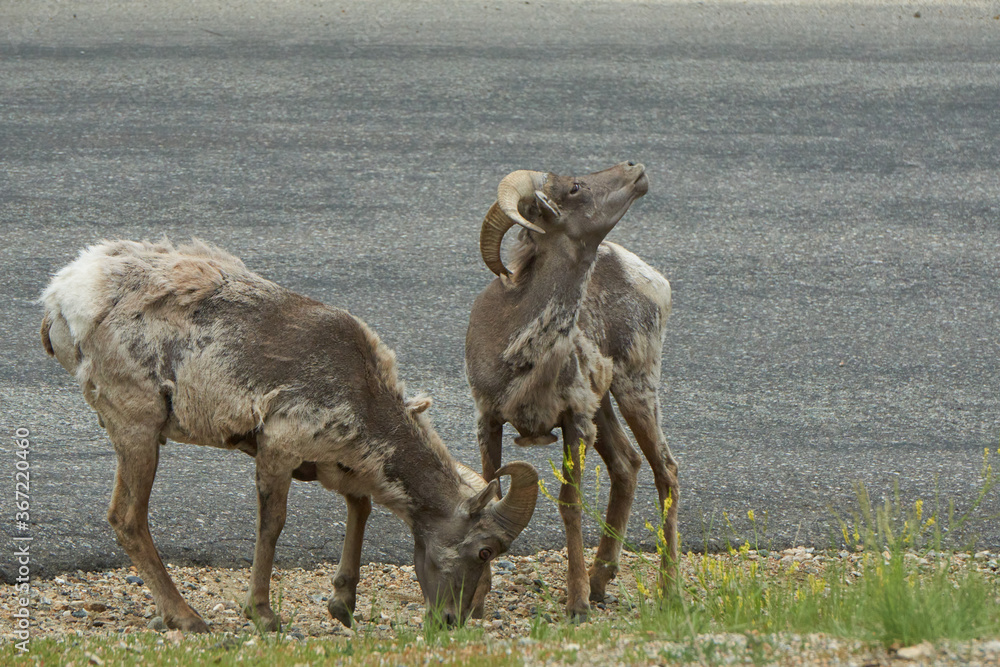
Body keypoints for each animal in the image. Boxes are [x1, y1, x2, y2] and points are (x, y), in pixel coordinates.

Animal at [40, 239, 539, 632]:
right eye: (484, 552)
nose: (453, 620)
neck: (362, 390)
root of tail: (61, 296)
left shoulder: (330, 466)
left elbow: (360, 508)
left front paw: (342, 605)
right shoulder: (277, 452)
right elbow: (273, 525)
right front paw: (264, 615)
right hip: (137, 428)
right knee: (127, 518)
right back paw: (188, 618)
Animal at [465, 162, 678, 622]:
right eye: (576, 187)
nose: (635, 169)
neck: (524, 349)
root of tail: (652, 278)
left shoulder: (574, 422)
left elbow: (570, 503)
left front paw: (576, 604)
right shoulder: (488, 419)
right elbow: (489, 495)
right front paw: (474, 605)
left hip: (636, 389)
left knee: (665, 471)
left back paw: (668, 591)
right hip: (606, 406)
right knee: (627, 465)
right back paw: (602, 581)